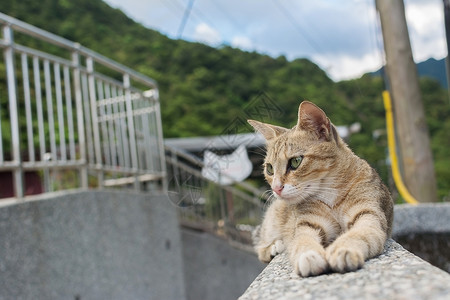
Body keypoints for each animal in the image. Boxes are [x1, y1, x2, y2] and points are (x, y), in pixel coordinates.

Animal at [250, 101, 394, 276]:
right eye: (270, 168)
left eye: (296, 161)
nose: (276, 188)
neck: (332, 196)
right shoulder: (308, 224)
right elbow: (302, 240)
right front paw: (308, 255)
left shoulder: (369, 215)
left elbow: (358, 233)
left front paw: (343, 248)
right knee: (261, 247)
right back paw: (273, 247)